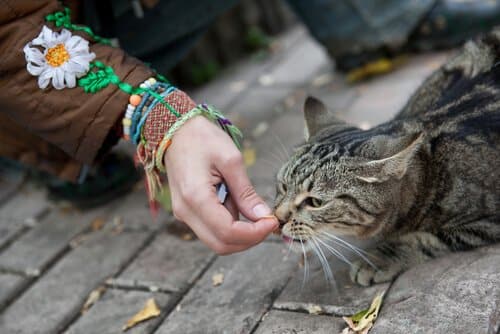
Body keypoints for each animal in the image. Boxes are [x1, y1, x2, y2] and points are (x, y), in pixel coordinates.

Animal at [274, 28, 500, 288]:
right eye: (283, 186)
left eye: (315, 202)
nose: (277, 218)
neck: (428, 171)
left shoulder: (487, 221)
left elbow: (425, 238)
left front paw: (379, 259)